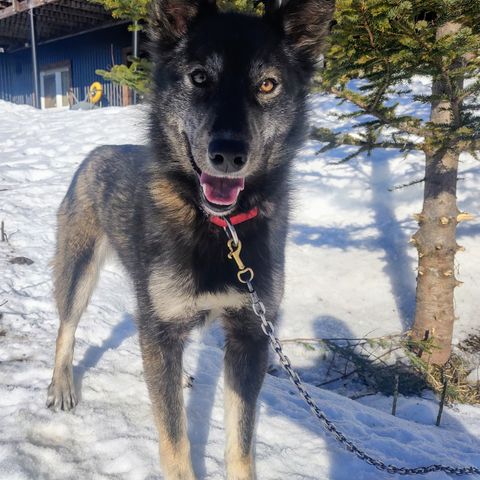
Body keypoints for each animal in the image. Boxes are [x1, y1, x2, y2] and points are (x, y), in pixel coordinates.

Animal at [47, 0, 334, 476]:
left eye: (268, 84)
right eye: (199, 77)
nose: (229, 154)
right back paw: (61, 386)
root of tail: (97, 152)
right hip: (80, 270)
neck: (221, 228)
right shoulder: (163, 326)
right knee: (66, 328)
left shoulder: (250, 335)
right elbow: (175, 440)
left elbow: (241, 443)